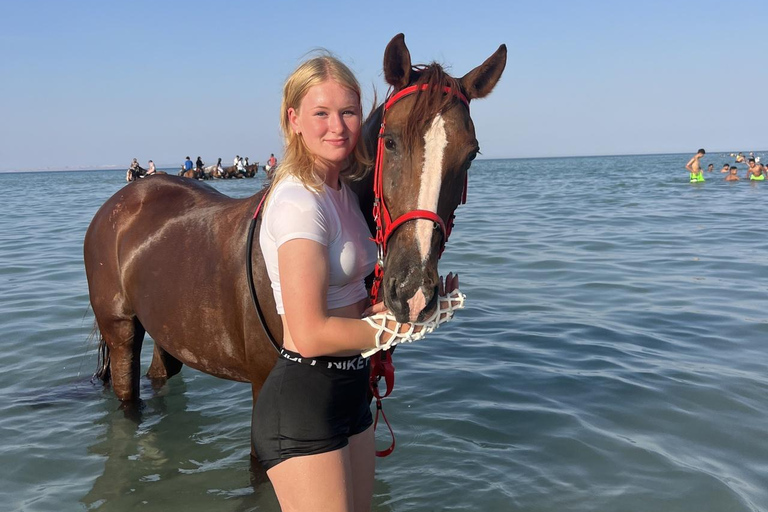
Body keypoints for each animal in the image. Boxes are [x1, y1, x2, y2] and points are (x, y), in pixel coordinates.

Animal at [84, 33, 506, 445]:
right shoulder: (261, 387)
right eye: (391, 141)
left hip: (168, 330)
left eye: (470, 155)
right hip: (121, 331)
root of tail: (122, 200)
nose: (414, 290)